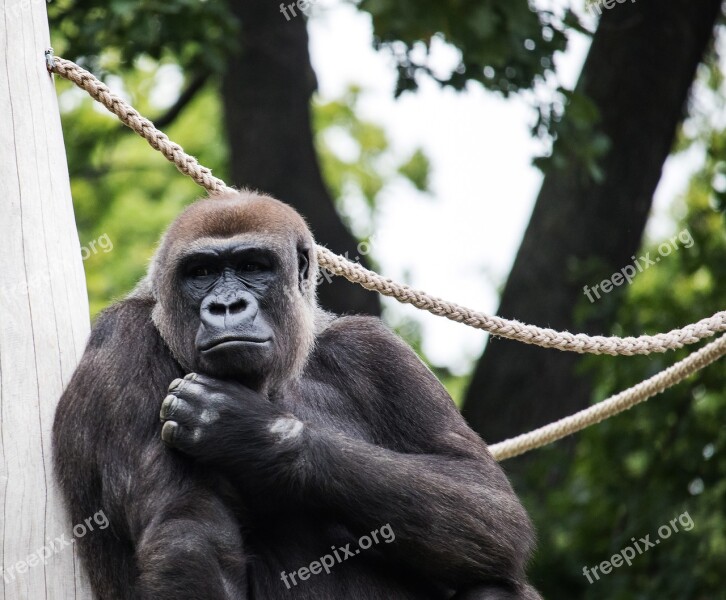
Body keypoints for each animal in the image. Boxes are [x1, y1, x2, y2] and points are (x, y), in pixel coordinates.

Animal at [54, 192, 544, 600]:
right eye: (201, 273)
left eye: (252, 267)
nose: (227, 307)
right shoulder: (125, 338)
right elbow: (187, 531)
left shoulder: (377, 351)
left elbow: (486, 498)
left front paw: (257, 434)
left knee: (491, 581)